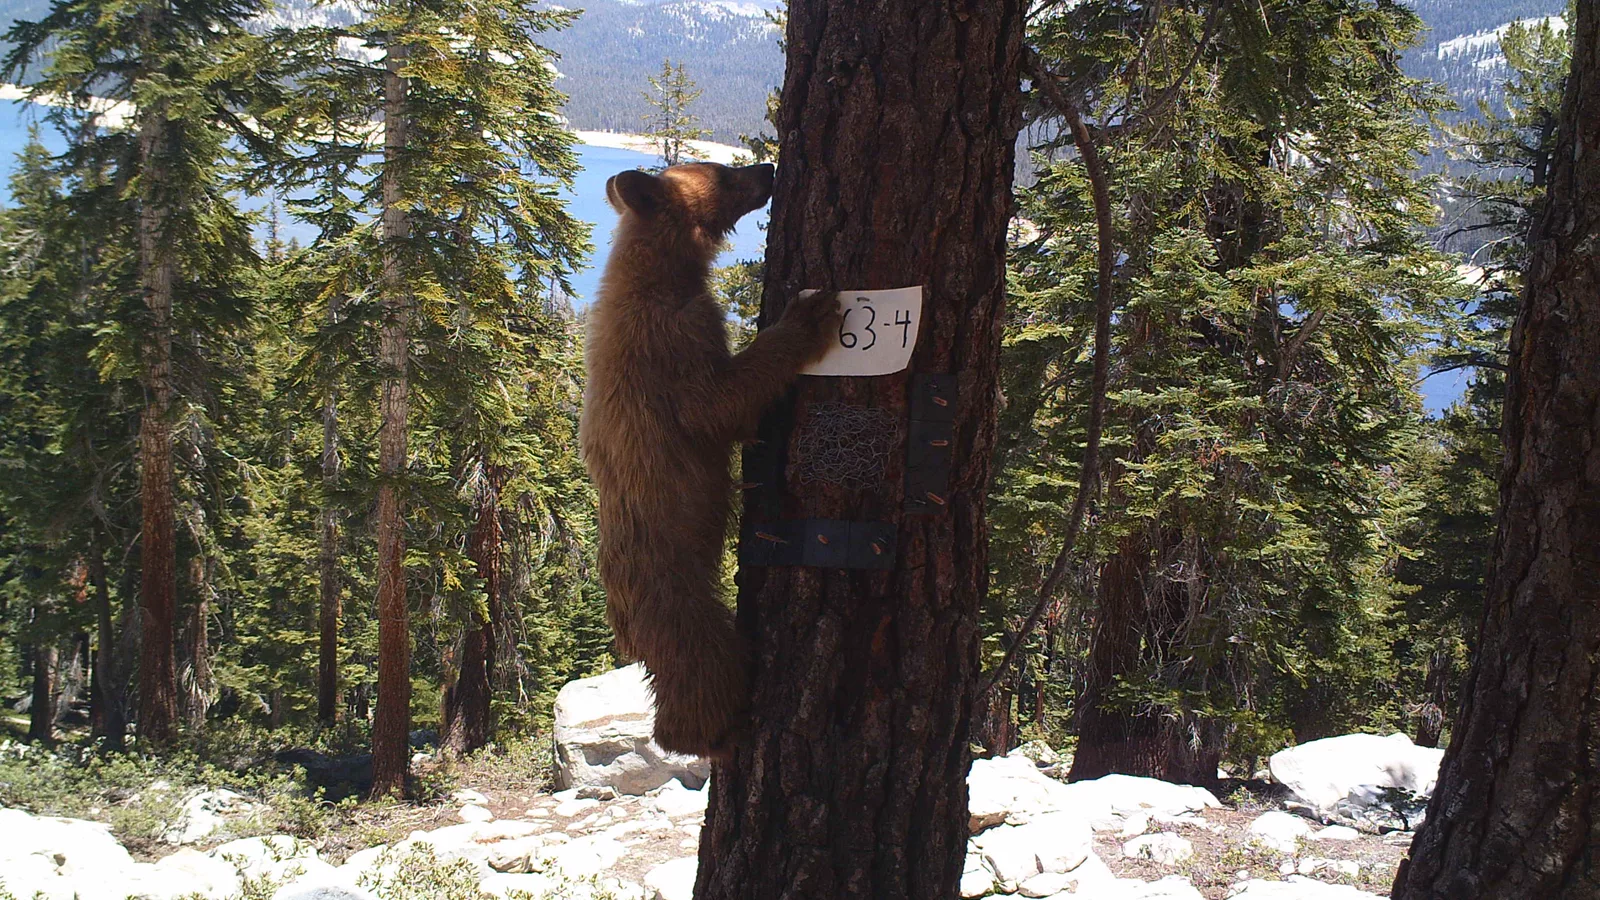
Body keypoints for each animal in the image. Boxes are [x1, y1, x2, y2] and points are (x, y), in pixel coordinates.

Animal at [579, 161, 841, 759]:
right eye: (722, 173)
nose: (767, 168)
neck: (659, 272)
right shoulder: (674, 340)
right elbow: (717, 405)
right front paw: (805, 316)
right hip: (679, 597)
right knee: (704, 664)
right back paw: (712, 731)